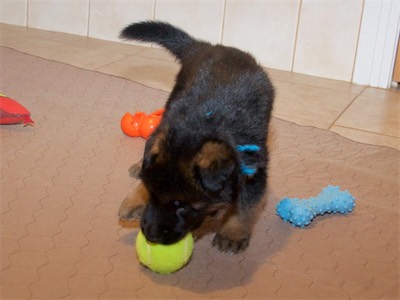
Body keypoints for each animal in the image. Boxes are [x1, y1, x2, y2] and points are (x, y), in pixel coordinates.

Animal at [119, 22, 274, 254]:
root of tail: (206, 46)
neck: (205, 122)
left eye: (182, 206)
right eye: (152, 195)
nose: (150, 235)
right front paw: (136, 198)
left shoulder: (254, 169)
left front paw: (232, 233)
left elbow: (247, 204)